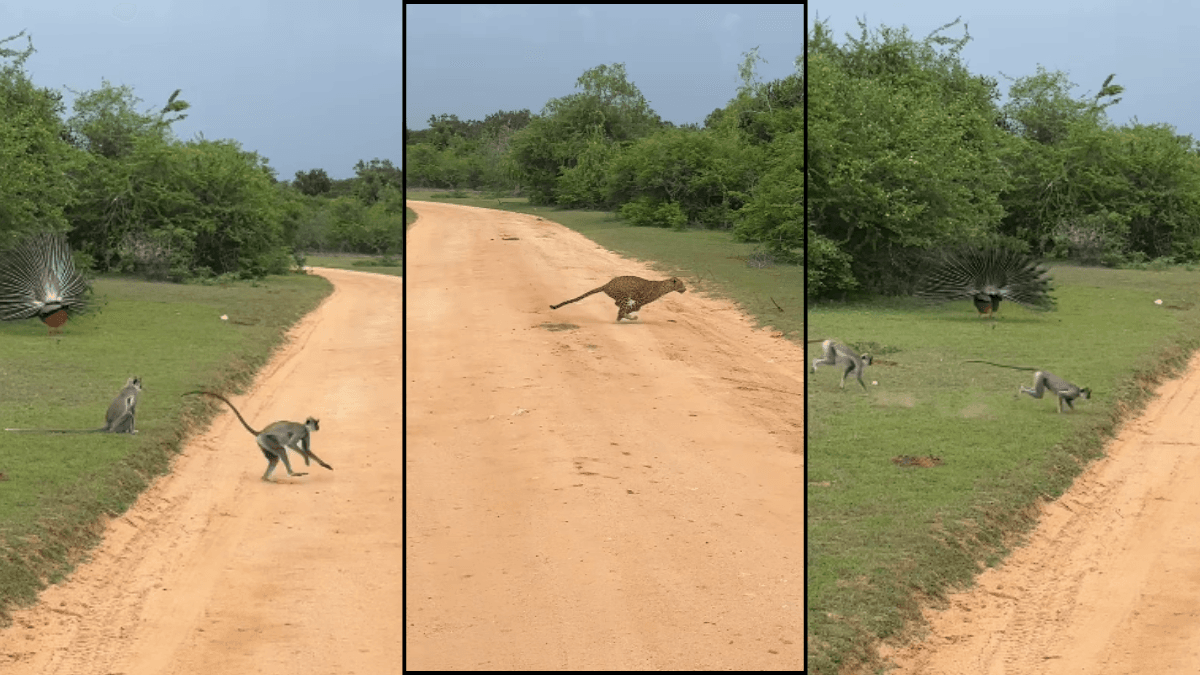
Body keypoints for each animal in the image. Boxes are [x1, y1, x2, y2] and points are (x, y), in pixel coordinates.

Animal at [549, 276, 686, 322]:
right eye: (682, 284)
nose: (685, 289)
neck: (664, 287)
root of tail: (607, 284)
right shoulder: (640, 301)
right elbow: (632, 308)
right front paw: (625, 316)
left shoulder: (639, 302)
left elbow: (630, 309)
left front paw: (624, 315)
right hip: (624, 295)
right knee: (620, 305)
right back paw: (626, 317)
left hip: (622, 297)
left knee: (617, 304)